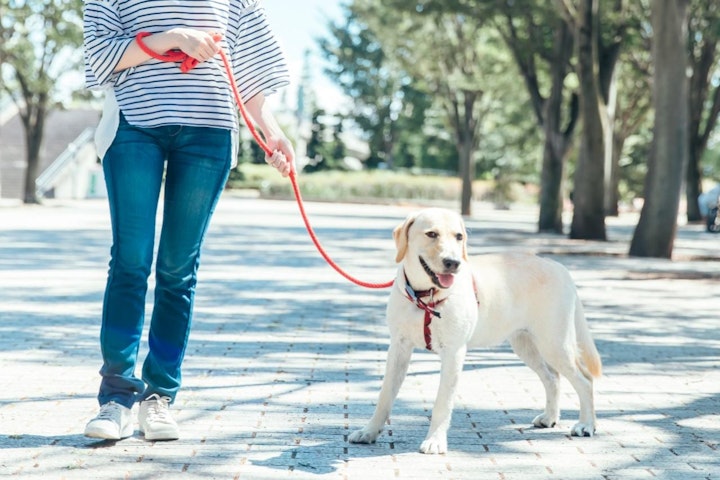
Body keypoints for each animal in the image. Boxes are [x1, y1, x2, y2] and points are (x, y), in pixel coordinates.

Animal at [348, 207, 600, 454]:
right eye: (431, 234)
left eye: (459, 237)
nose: (453, 262)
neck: (425, 297)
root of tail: (557, 265)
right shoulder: (399, 348)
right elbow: (384, 396)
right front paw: (369, 431)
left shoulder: (453, 352)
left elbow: (442, 402)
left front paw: (435, 440)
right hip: (527, 345)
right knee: (552, 377)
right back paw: (550, 417)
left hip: (555, 343)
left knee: (585, 380)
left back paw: (586, 424)